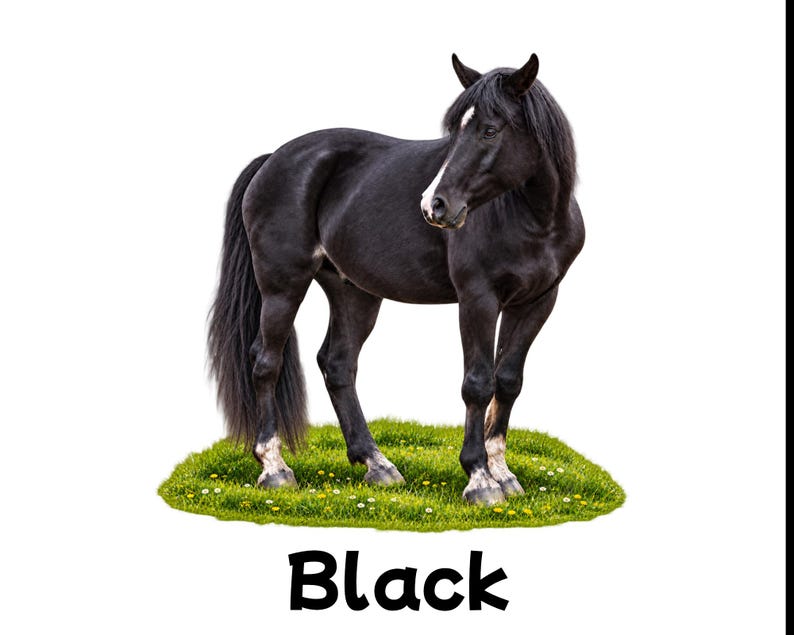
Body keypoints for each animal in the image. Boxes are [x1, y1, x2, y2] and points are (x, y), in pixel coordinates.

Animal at [208, 53, 584, 505]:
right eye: (455, 129)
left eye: (490, 129)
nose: (434, 205)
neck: (534, 220)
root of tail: (272, 160)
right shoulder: (478, 299)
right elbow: (478, 383)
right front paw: (479, 479)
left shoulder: (538, 301)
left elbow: (507, 381)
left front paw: (503, 474)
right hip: (282, 286)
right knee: (266, 362)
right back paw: (274, 467)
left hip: (353, 291)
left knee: (337, 365)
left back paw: (377, 464)